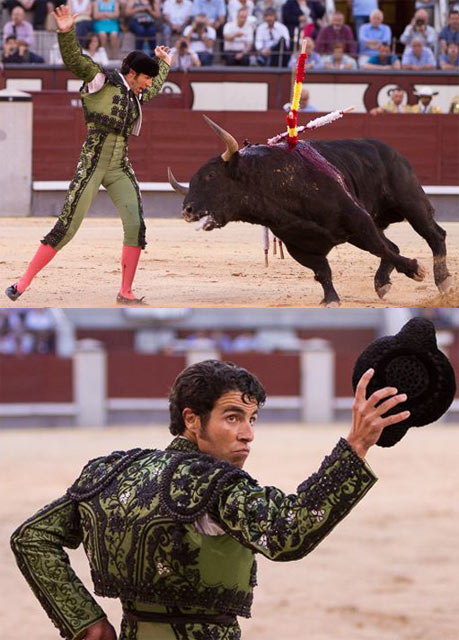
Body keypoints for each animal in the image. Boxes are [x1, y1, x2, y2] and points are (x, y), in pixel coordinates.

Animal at [167, 118, 452, 308]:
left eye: (211, 176)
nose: (187, 210)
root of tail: (390, 150)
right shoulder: (299, 246)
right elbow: (322, 270)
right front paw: (331, 300)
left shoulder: (358, 220)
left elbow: (380, 249)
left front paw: (415, 270)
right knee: (392, 244)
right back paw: (382, 284)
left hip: (410, 202)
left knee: (433, 235)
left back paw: (443, 282)